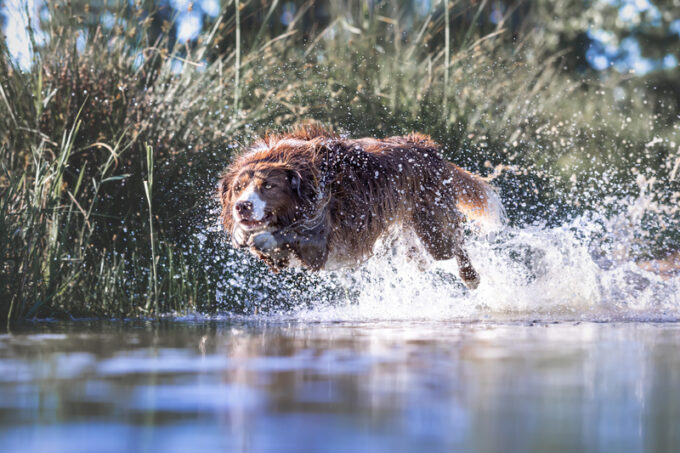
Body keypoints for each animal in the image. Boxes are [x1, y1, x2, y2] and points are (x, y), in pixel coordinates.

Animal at [219, 122, 504, 290]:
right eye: (238, 188)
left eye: (268, 186)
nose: (242, 206)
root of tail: (428, 148)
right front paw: (242, 233)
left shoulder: (321, 240)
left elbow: (285, 235)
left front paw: (258, 236)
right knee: (421, 258)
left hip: (433, 227)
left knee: (455, 243)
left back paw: (471, 276)